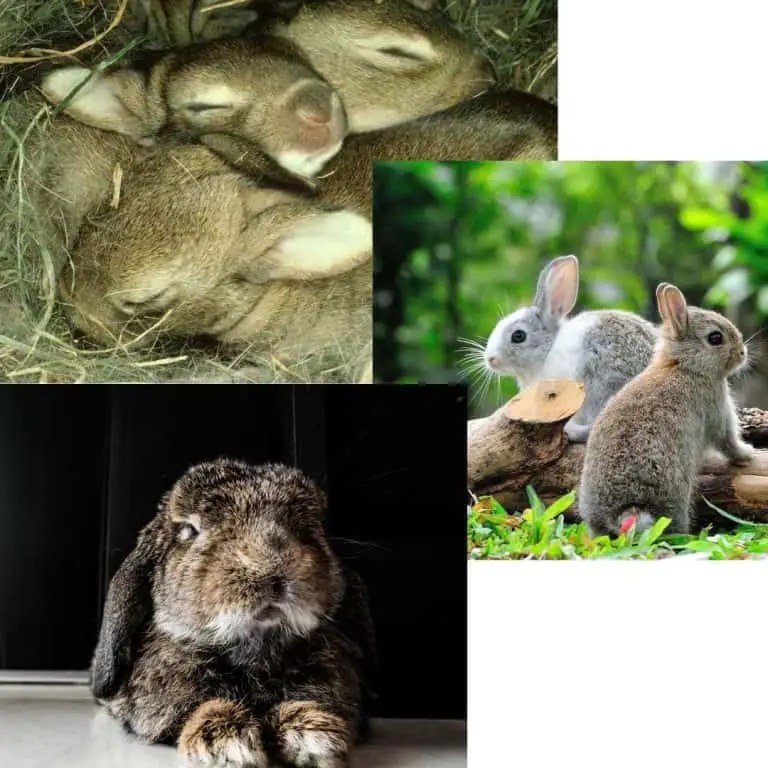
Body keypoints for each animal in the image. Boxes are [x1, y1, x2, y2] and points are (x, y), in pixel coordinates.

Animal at [92, 458, 375, 768]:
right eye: (189, 531)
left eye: (314, 527)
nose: (271, 564)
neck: (255, 651)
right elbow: (198, 706)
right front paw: (226, 742)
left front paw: (313, 735)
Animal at [579, 284, 754, 537]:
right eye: (715, 338)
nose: (742, 353)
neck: (684, 366)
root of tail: (623, 511)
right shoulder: (717, 412)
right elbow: (728, 442)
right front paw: (747, 453)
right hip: (675, 496)